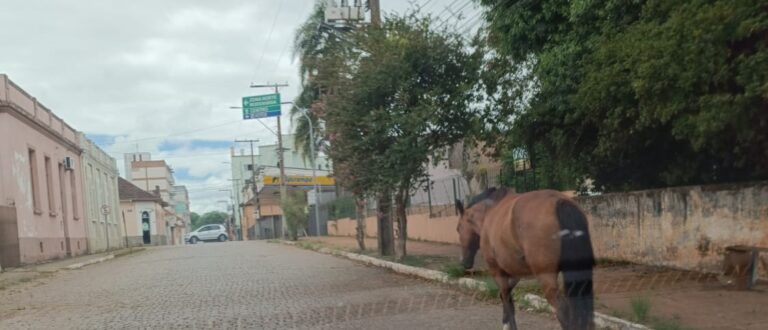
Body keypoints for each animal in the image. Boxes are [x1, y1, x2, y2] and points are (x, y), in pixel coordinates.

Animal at [452, 188, 596, 330]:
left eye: (458, 228)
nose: (463, 262)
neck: (489, 212)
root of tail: (559, 202)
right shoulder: (514, 272)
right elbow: (507, 297)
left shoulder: (497, 271)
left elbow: (506, 299)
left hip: (546, 278)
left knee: (563, 311)